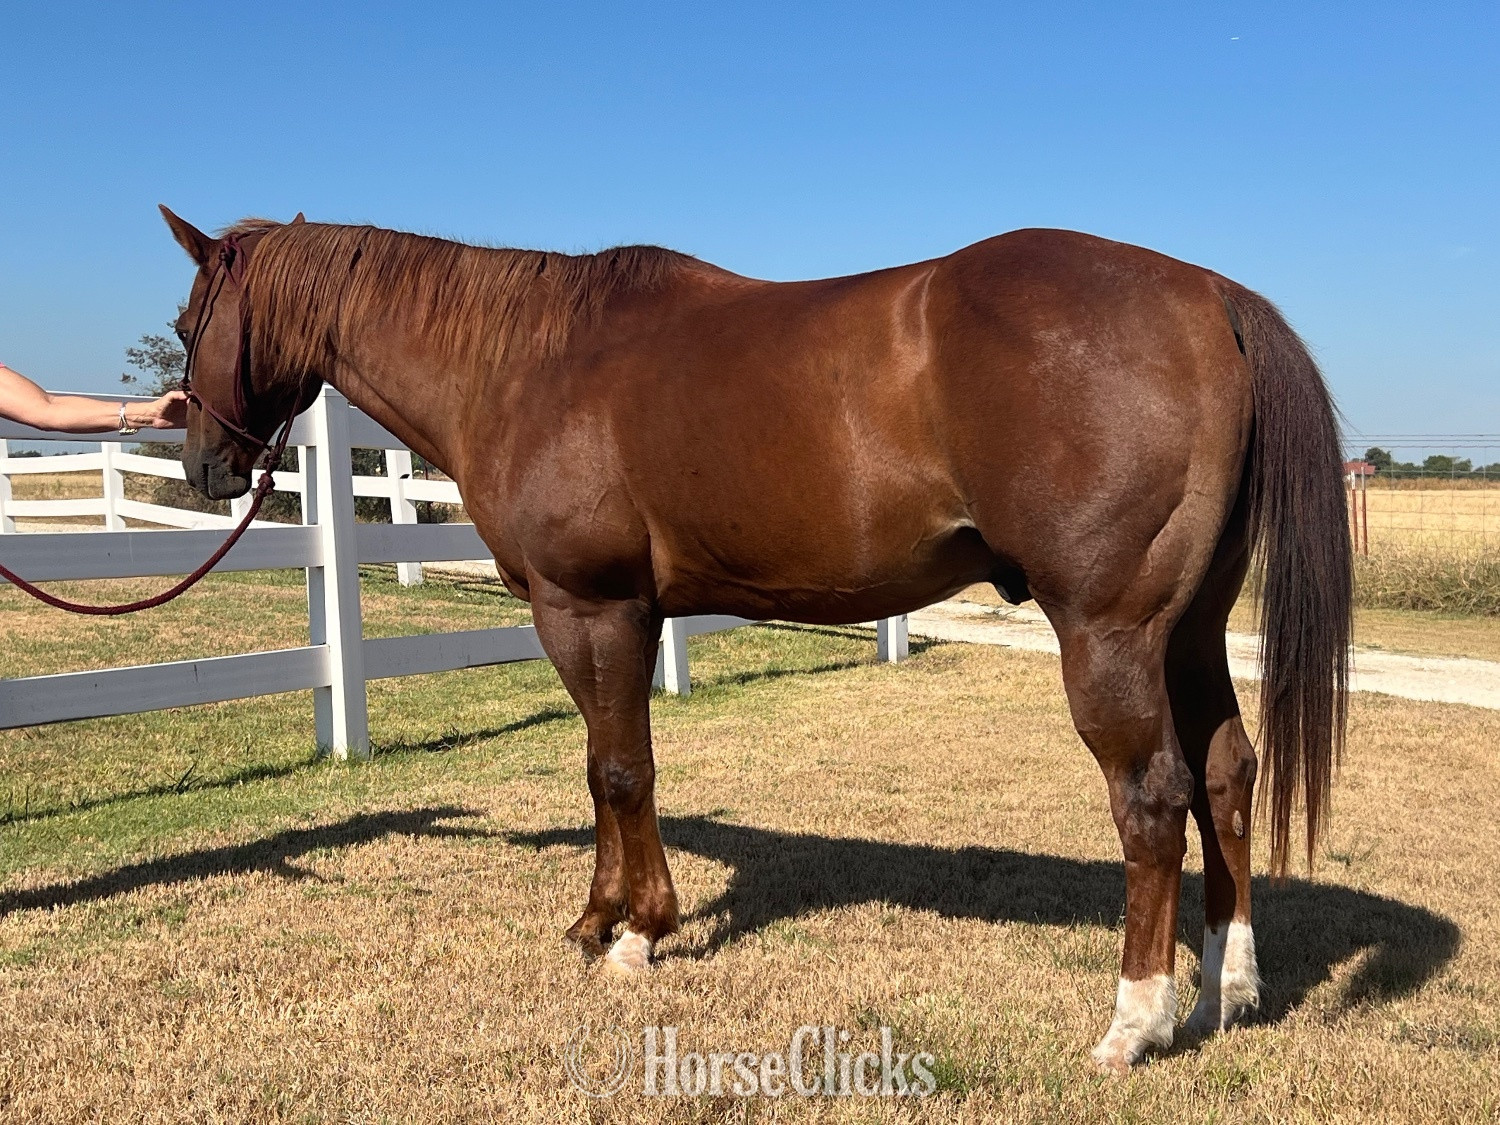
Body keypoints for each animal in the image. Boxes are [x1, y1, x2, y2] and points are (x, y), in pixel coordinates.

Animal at [158, 206, 1351, 1074]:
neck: (529, 360)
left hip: (1110, 632)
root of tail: (1210, 296)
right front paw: (598, 920)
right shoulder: (617, 615)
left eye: (186, 324)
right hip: (1190, 631)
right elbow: (605, 770)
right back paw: (1227, 988)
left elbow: (620, 769)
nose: (206, 465)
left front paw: (638, 934)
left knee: (1152, 797)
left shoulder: (589, 607)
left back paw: (1135, 1022)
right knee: (1226, 774)